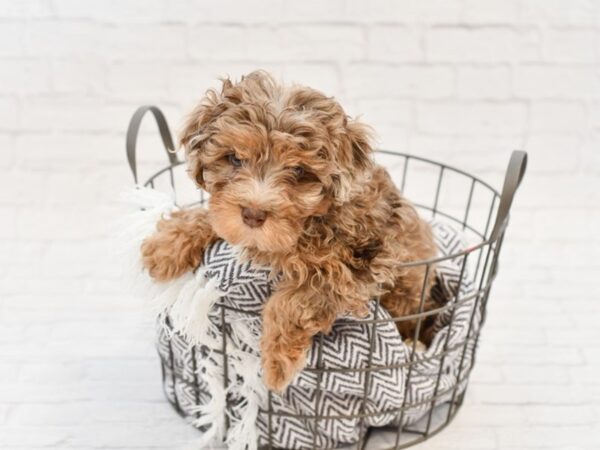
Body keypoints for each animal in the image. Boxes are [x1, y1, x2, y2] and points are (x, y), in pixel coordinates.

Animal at [143, 70, 438, 390]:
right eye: (235, 159)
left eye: (298, 171)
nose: (253, 215)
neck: (310, 222)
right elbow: (214, 217)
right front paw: (165, 246)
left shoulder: (366, 260)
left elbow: (299, 296)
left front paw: (276, 362)